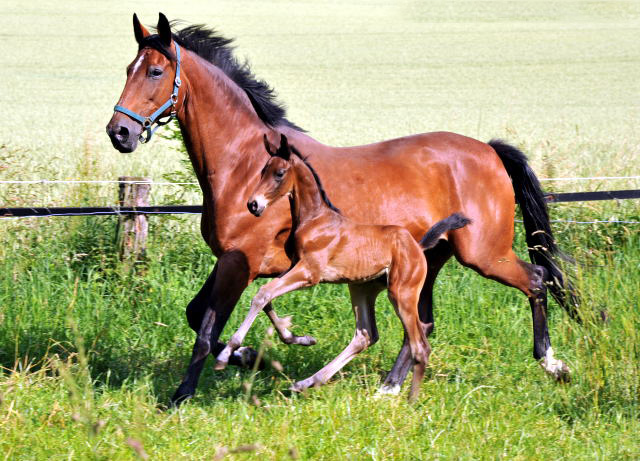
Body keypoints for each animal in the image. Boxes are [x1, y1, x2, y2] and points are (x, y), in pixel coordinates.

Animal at [215, 135, 470, 398]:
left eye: (280, 173)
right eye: (263, 170)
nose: (253, 205)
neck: (314, 220)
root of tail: (418, 247)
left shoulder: (309, 273)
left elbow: (262, 294)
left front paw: (227, 353)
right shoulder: (295, 268)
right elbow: (266, 298)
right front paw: (301, 339)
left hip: (402, 293)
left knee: (420, 345)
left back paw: (407, 399)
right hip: (362, 288)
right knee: (365, 335)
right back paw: (306, 382)